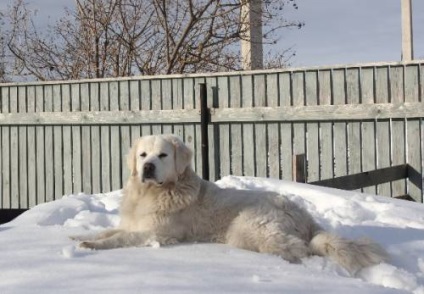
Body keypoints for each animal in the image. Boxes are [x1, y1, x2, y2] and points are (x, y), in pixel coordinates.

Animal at [74, 134, 390, 274]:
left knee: (295, 248)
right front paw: (80, 236)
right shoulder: (135, 222)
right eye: (142, 155)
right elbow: (109, 231)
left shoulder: (157, 233)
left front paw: (93, 246)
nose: (148, 167)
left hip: (246, 226)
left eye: (162, 155)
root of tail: (304, 216)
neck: (153, 193)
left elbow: (120, 238)